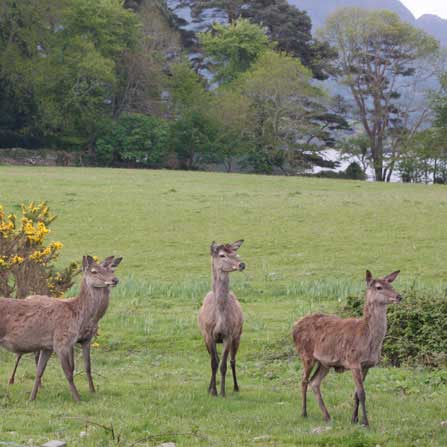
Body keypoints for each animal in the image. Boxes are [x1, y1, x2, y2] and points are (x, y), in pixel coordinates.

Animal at [0, 256, 121, 402]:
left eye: (110, 270)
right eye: (94, 271)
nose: (115, 280)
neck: (77, 315)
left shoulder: (49, 346)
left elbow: (39, 371)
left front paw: (31, 398)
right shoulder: (62, 341)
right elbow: (68, 372)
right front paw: (78, 399)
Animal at [200, 242, 247, 400]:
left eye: (236, 253)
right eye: (222, 255)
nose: (241, 264)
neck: (219, 318)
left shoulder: (229, 335)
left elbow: (223, 365)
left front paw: (222, 392)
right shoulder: (209, 335)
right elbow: (214, 363)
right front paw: (213, 391)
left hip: (238, 335)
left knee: (232, 361)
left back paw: (236, 387)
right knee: (213, 358)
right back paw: (209, 387)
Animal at [292, 270, 404, 428]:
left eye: (391, 284)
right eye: (378, 287)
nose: (399, 296)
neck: (369, 340)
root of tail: (294, 327)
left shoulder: (367, 365)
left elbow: (356, 393)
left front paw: (354, 419)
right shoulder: (353, 361)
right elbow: (362, 393)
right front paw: (365, 422)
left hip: (324, 363)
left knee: (314, 382)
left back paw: (327, 416)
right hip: (306, 354)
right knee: (303, 381)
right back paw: (304, 413)